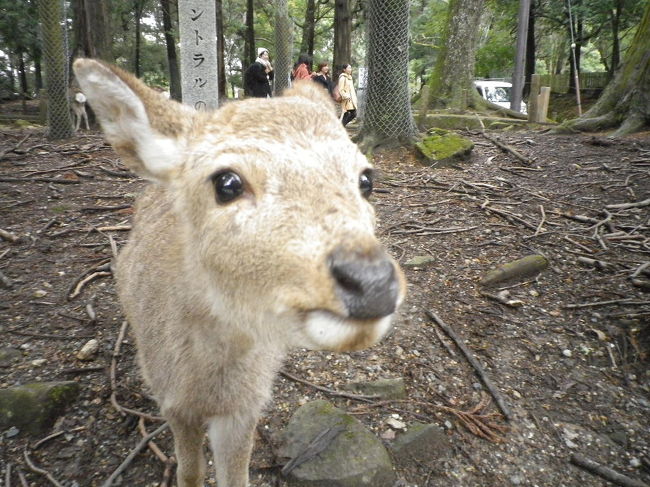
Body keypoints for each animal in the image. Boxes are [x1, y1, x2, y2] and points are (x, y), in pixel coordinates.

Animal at [72, 59, 404, 487]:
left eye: (366, 179)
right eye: (226, 182)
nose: (373, 283)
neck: (207, 386)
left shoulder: (246, 405)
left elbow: (236, 475)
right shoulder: (173, 403)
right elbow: (189, 472)